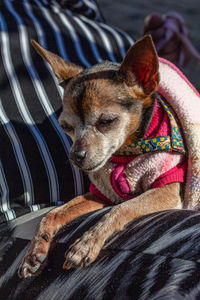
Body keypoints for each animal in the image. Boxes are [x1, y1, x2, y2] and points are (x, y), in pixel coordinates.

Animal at [18, 36, 184, 278]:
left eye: (106, 121)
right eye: (65, 127)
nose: (75, 156)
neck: (127, 154)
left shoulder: (168, 191)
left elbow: (123, 207)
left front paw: (86, 243)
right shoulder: (102, 194)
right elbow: (54, 213)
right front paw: (34, 250)